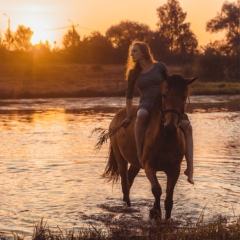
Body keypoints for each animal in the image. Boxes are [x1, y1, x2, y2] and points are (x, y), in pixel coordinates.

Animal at [95, 74, 197, 219]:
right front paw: (155, 212)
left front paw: (164, 218)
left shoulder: (174, 169)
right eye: (164, 95)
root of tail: (118, 116)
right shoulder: (149, 167)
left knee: (129, 180)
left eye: (183, 97)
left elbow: (169, 198)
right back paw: (128, 207)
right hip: (121, 159)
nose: (170, 127)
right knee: (125, 183)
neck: (165, 138)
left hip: (135, 164)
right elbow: (157, 190)